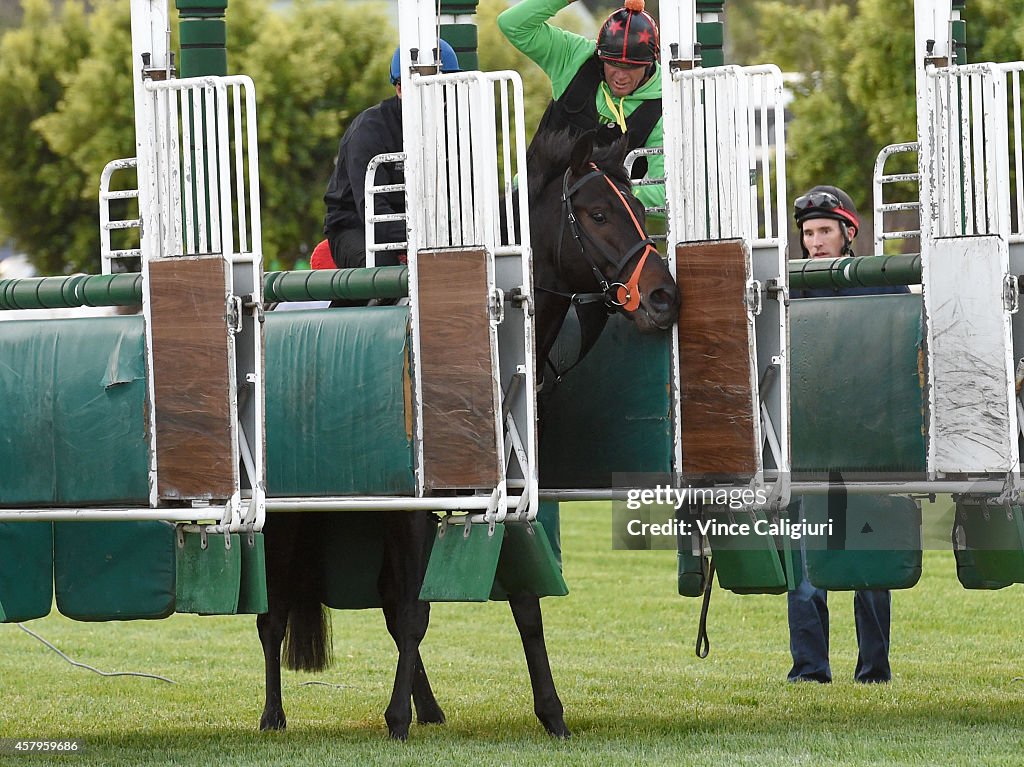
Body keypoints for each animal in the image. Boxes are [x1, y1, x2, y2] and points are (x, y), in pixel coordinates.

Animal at [256, 128, 675, 737]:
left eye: (640, 211)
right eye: (598, 214)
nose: (664, 298)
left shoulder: (507, 499)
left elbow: (523, 606)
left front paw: (551, 712)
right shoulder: (412, 511)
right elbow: (412, 610)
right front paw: (396, 719)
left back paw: (427, 706)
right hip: (291, 517)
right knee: (277, 611)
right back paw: (273, 714)